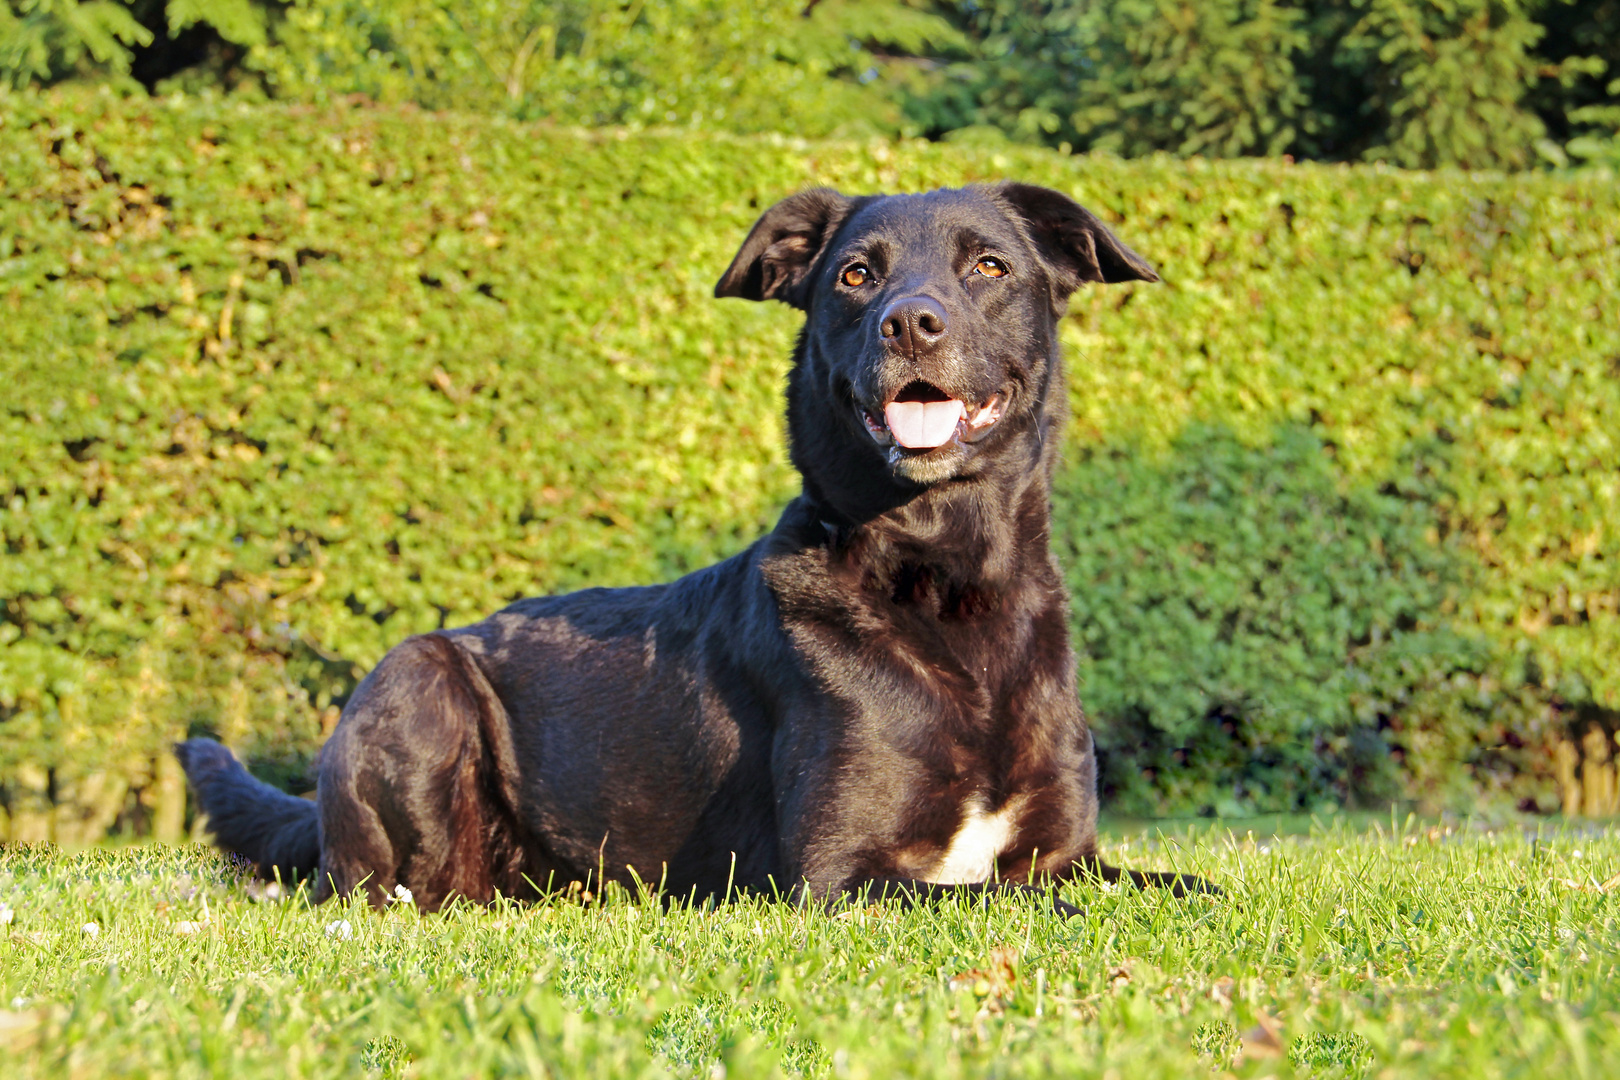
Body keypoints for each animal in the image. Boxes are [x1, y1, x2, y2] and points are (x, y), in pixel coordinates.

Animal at [177, 183, 1218, 913]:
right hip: (419, 682)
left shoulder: (1068, 855)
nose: (912, 323)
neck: (946, 582)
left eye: (991, 268)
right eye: (856, 276)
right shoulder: (840, 877)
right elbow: (1012, 904)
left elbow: (1173, 886)